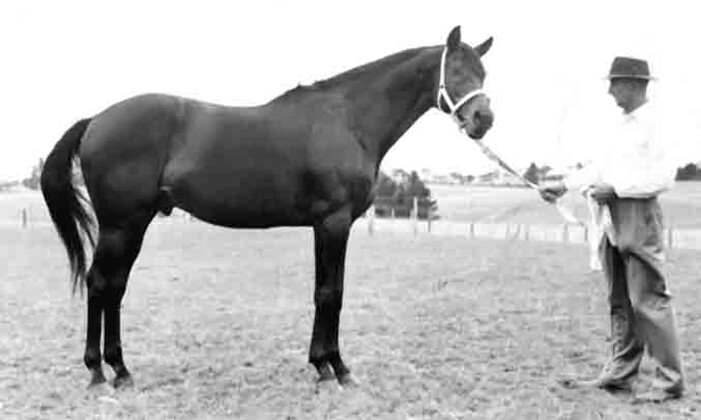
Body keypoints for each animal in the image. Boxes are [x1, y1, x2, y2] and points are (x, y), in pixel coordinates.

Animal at [40, 26, 494, 389]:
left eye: (483, 74)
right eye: (456, 71)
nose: (483, 119)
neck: (346, 119)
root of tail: (96, 120)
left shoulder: (328, 225)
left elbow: (328, 290)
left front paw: (323, 365)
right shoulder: (334, 222)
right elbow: (331, 293)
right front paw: (336, 369)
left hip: (133, 224)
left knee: (114, 286)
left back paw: (118, 370)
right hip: (121, 224)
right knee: (100, 284)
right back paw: (100, 372)